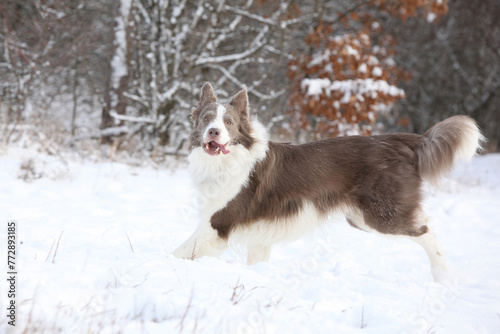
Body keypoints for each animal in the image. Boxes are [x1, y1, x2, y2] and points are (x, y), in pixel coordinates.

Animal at [175, 83, 484, 282]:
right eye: (206, 119)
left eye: (228, 123)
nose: (214, 132)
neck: (226, 160)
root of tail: (398, 141)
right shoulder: (257, 234)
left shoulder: (217, 223)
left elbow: (182, 251)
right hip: (361, 217)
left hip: (381, 215)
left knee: (425, 231)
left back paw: (443, 276)